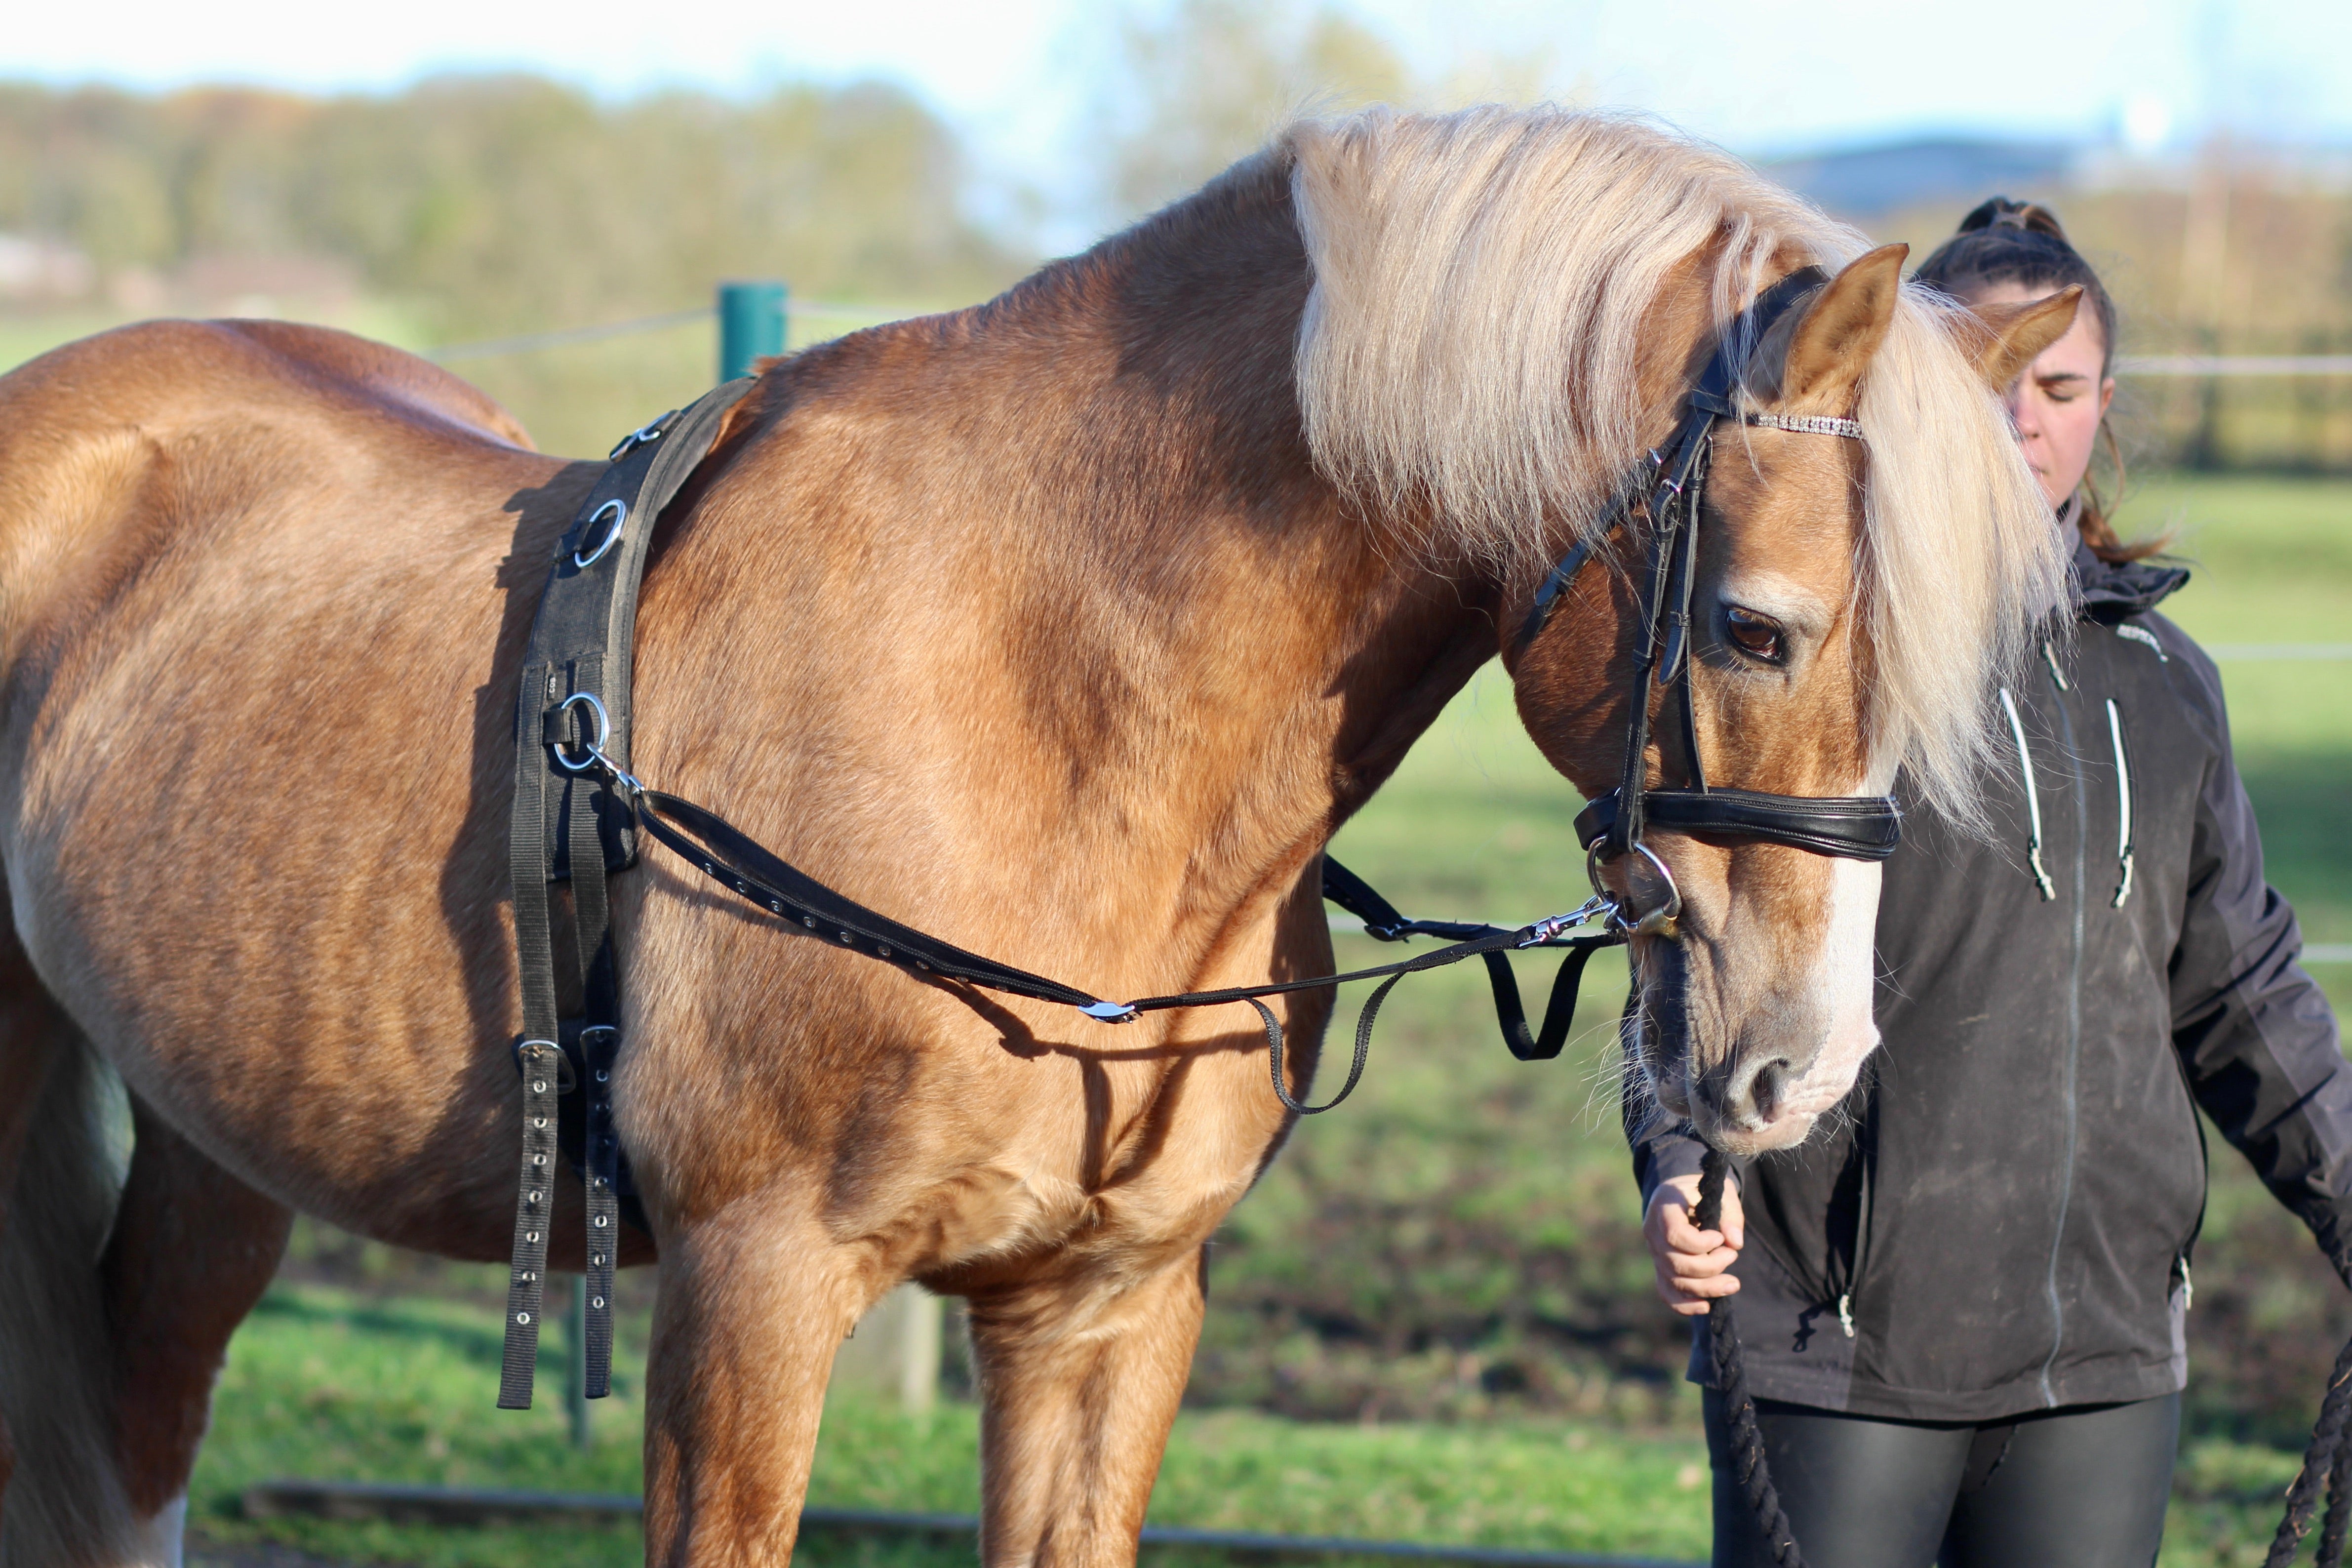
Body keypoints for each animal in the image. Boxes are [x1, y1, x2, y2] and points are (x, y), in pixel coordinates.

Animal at [0, 106, 2071, 1567]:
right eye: (1755, 627)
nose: (1800, 1063)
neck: (1046, 705)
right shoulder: (752, 1296)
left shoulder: (1106, 1312)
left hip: (215, 1132)